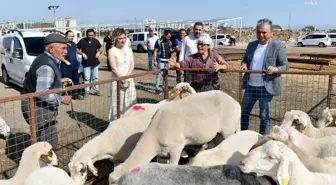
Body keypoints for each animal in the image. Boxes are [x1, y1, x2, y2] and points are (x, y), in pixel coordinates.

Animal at [109, 89, 242, 182]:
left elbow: (173, 165)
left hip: (228, 129)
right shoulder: (162, 154)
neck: (154, 137)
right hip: (219, 133)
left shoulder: (176, 148)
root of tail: (236, 103)